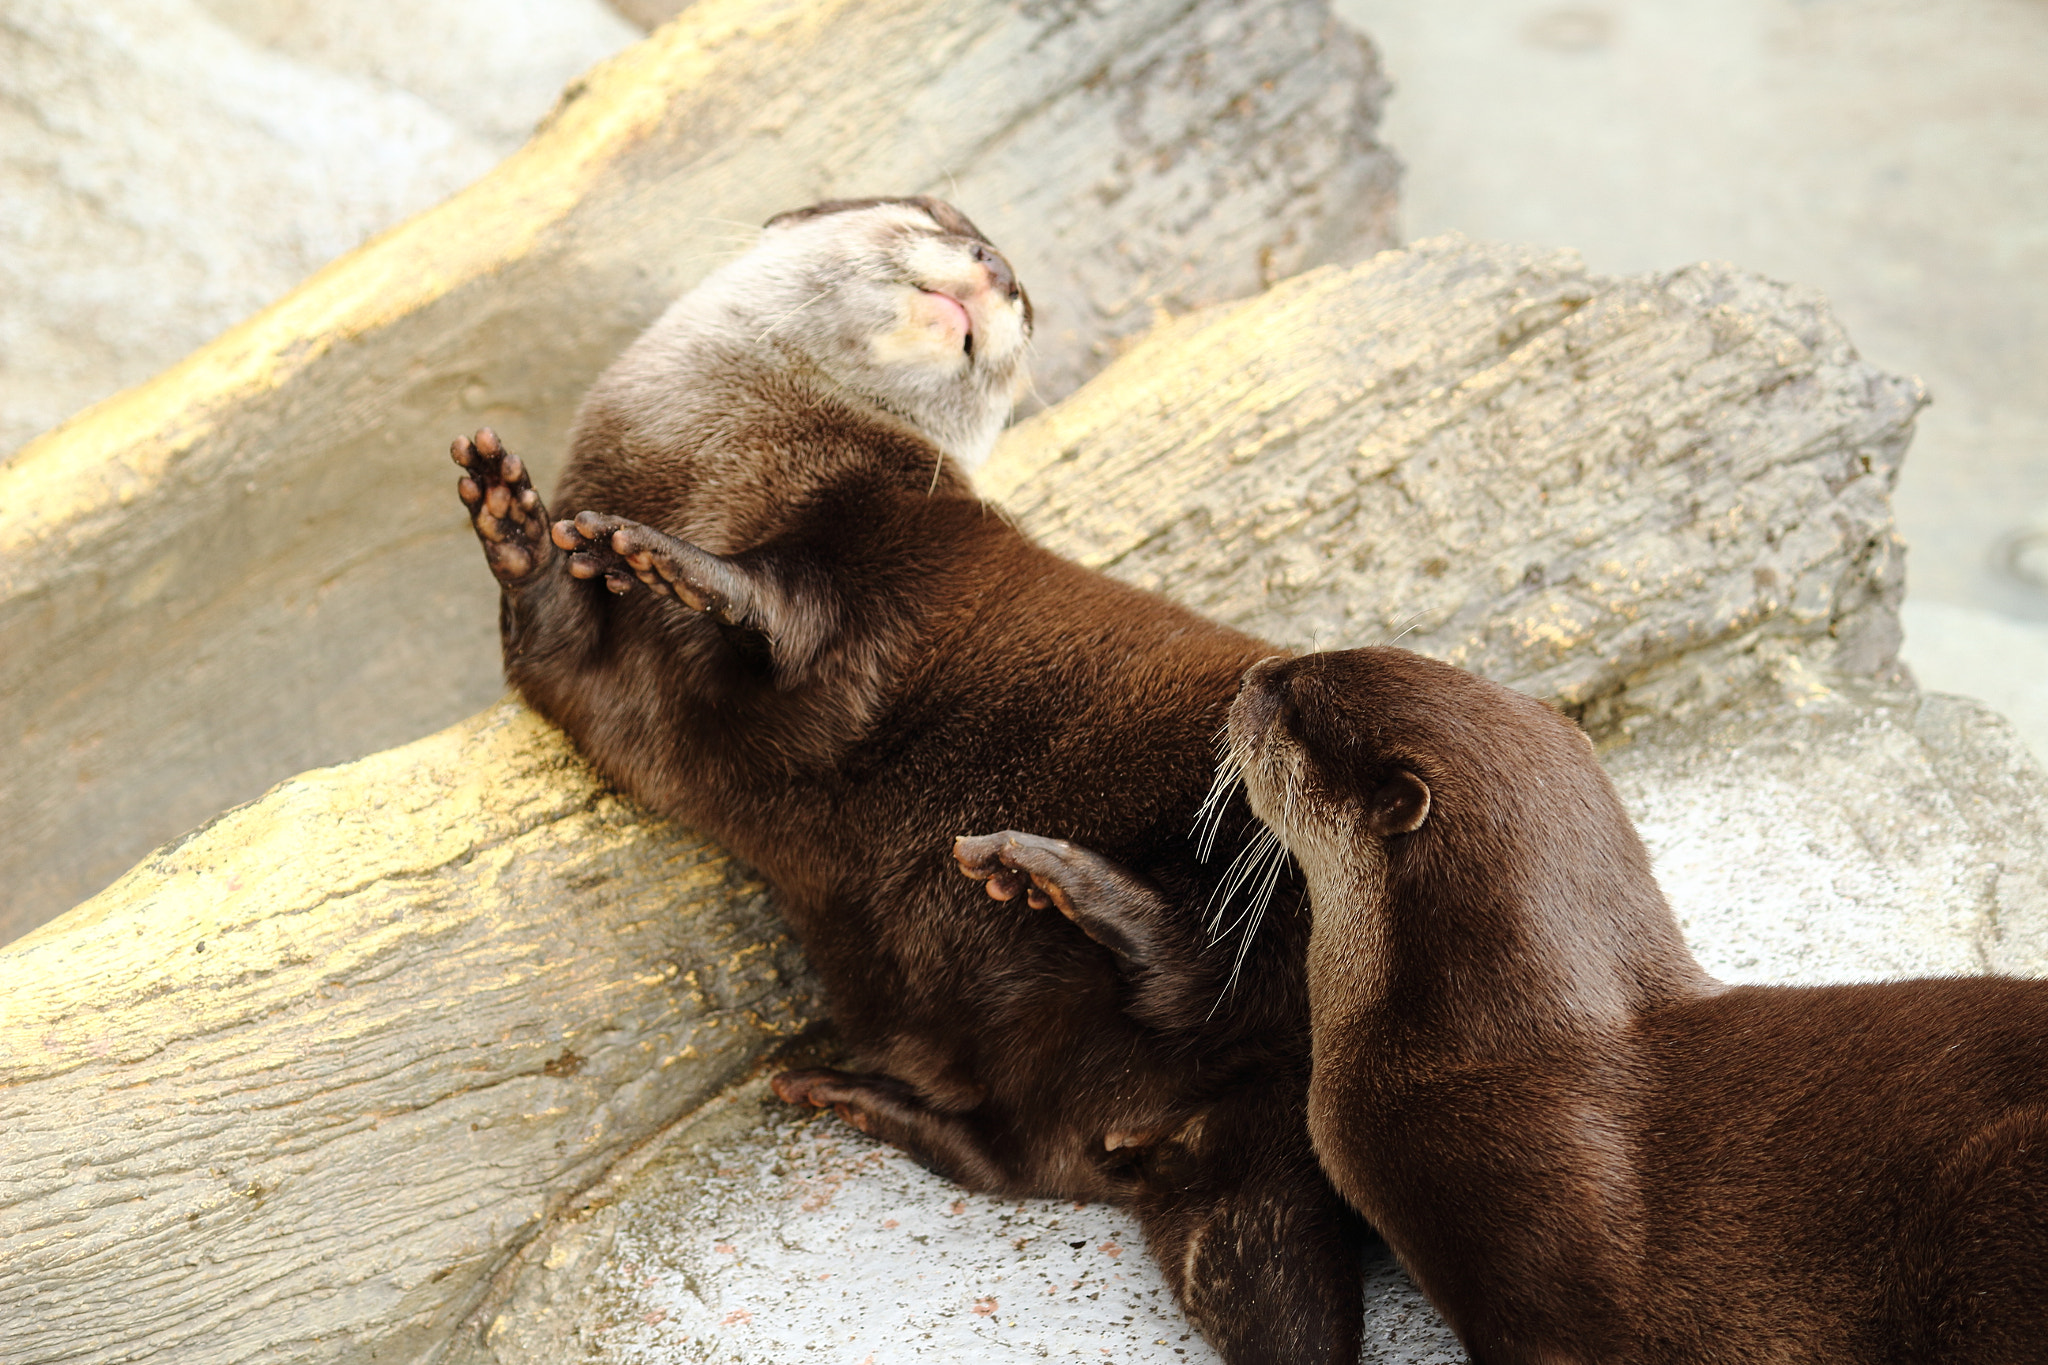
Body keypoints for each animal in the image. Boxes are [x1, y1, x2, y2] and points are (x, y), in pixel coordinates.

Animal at [450, 198, 1363, 1364]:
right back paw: (854, 1087)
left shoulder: (903, 545)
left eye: (1026, 302)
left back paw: (1074, 890)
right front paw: (512, 522)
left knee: (1219, 968)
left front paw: (684, 571)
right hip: (1059, 1083)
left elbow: (803, 609)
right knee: (1022, 1154)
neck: (721, 462)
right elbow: (557, 658)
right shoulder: (616, 703)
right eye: (939, 216)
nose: (997, 267)